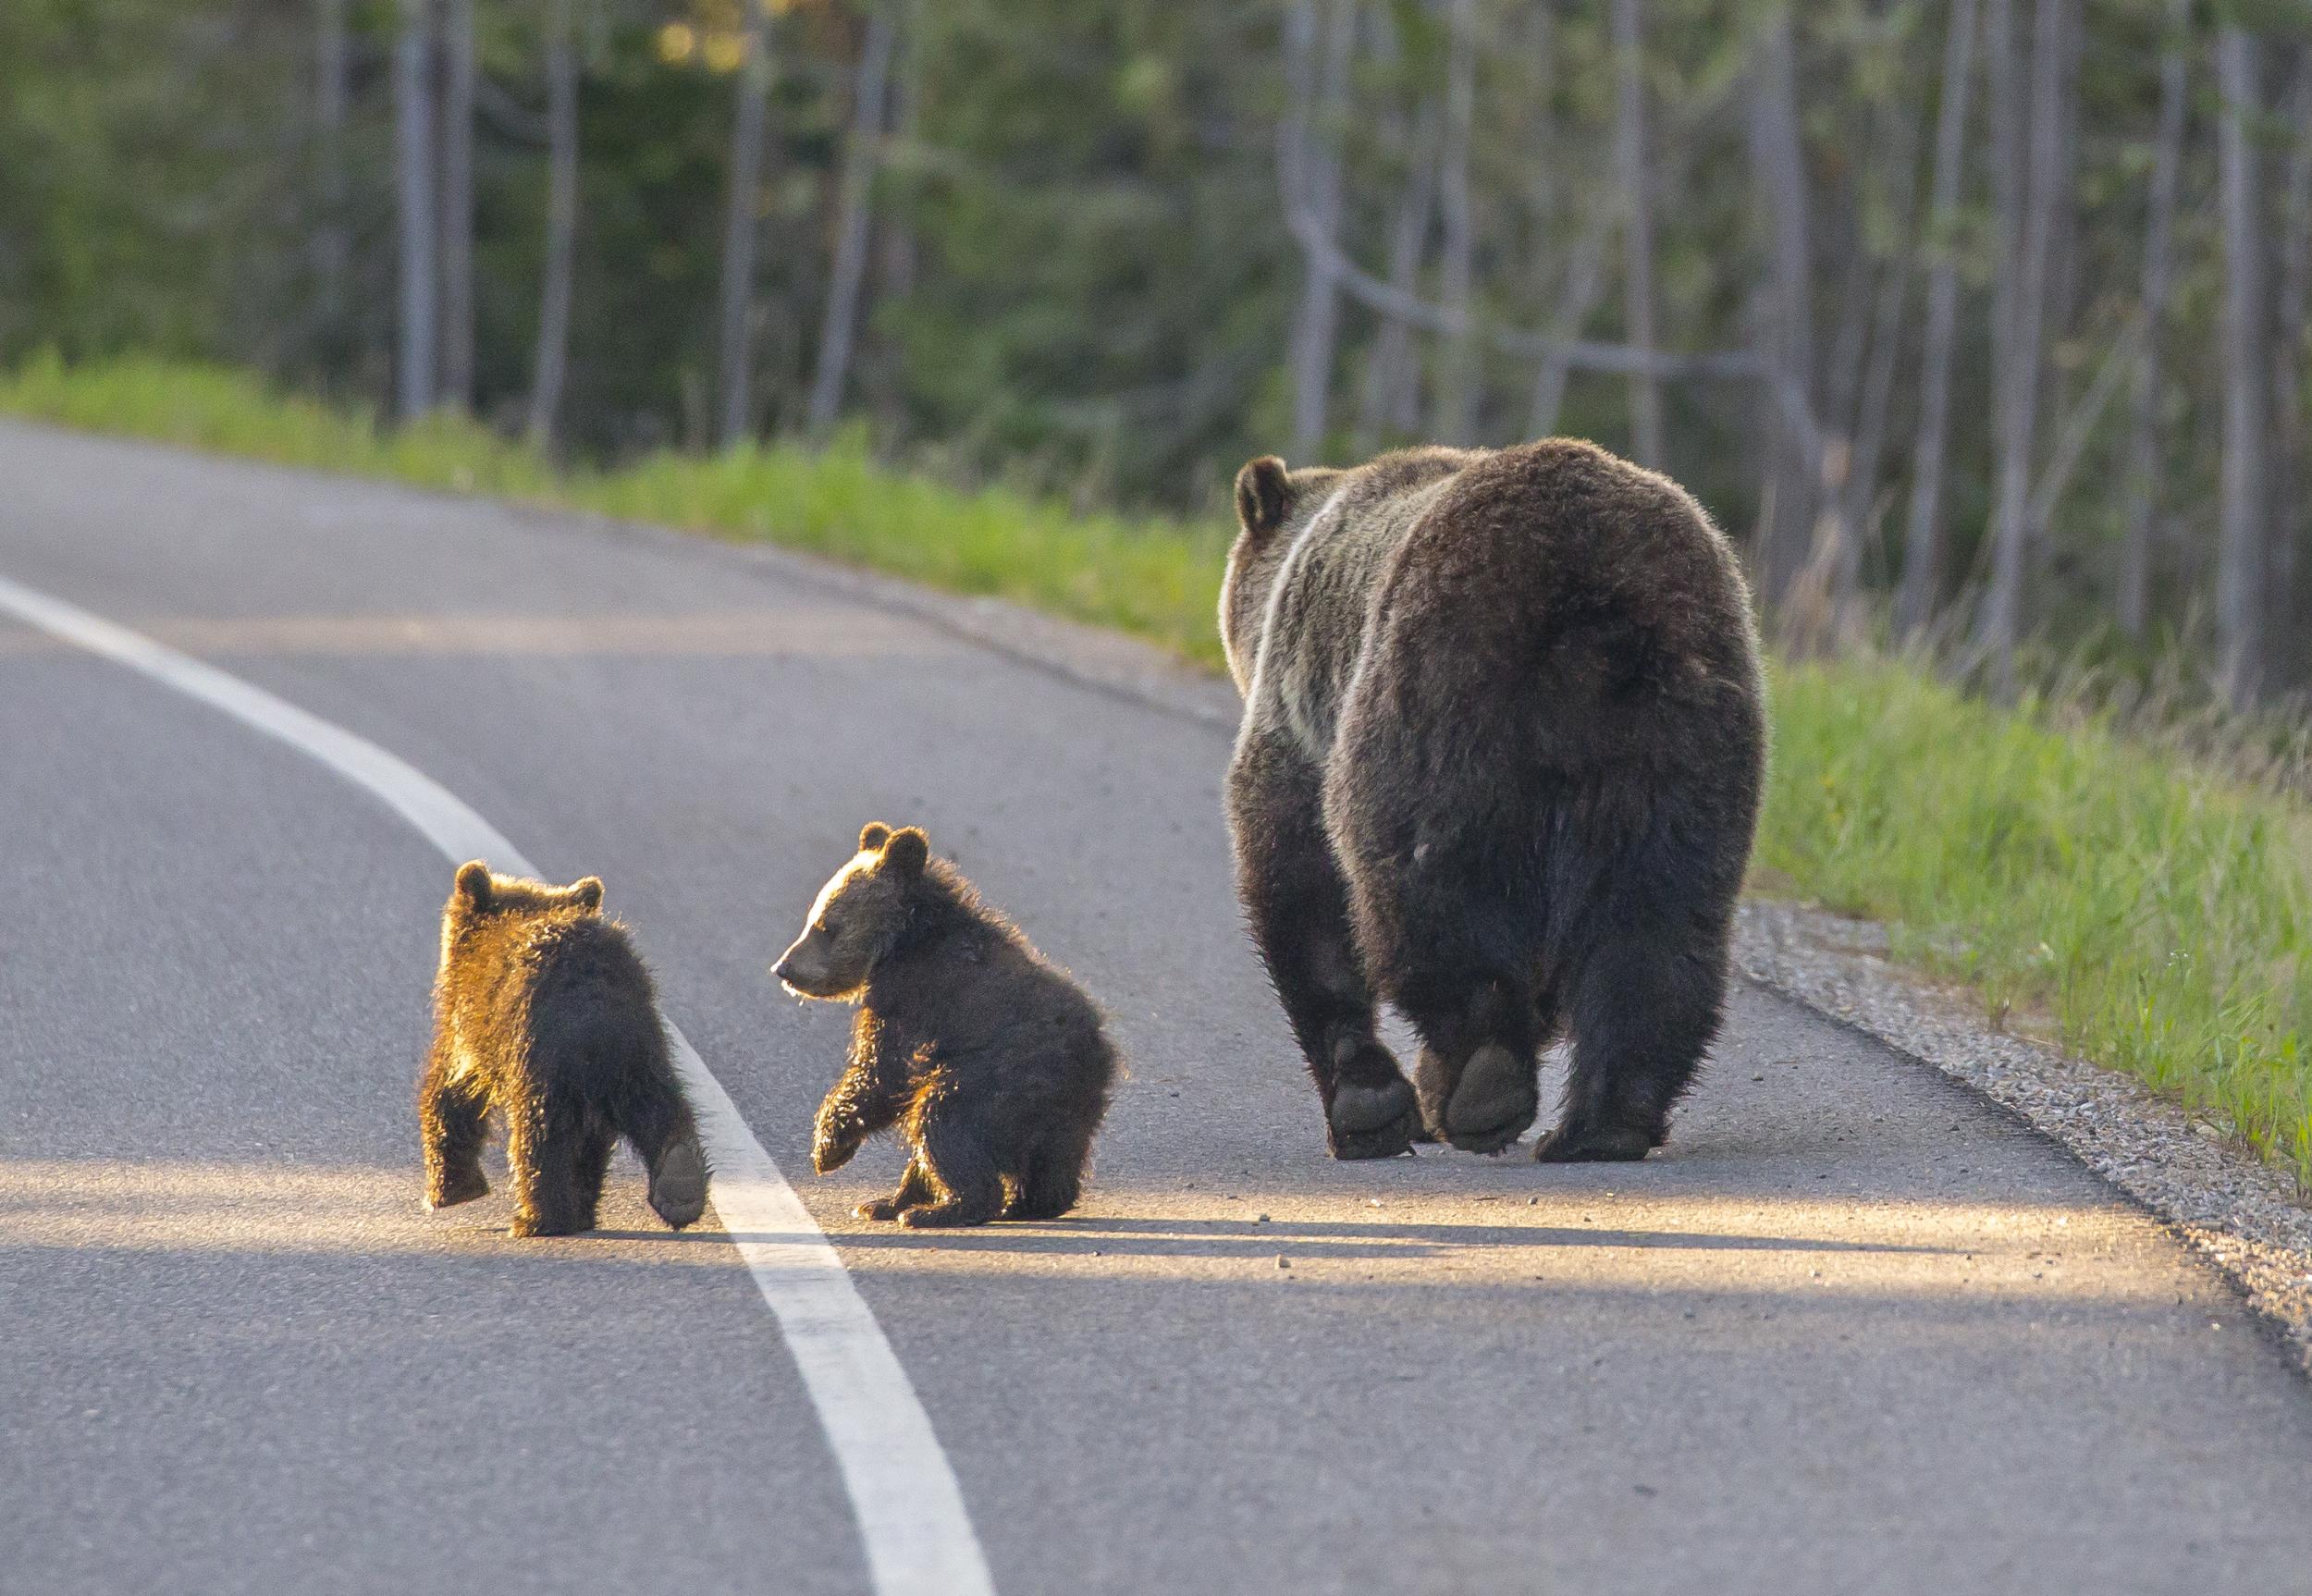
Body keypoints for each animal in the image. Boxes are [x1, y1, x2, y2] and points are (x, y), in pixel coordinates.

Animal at [420, 862, 710, 1237]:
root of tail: (593, 991)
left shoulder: (471, 1025)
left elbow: (451, 1092)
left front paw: (451, 1189)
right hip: (637, 1047)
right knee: (656, 1106)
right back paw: (679, 1186)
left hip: (541, 1054)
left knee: (542, 1133)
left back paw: (536, 1219)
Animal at [773, 823, 1118, 1229]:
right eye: (813, 918)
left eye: (826, 926)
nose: (784, 968)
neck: (903, 940)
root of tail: (1096, 1057)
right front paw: (876, 1197)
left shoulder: (913, 995)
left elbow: (880, 1071)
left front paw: (828, 1149)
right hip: (1065, 1113)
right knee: (1050, 1157)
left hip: (1001, 1075)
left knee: (942, 1117)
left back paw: (942, 1209)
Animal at [1218, 438, 1766, 1163]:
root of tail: (1595, 597)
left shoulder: (1302, 716)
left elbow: (1297, 880)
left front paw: (1368, 1104)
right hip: (1683, 734)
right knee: (1656, 923)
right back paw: (1602, 1122)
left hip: (1441, 692)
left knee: (1430, 894)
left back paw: (1482, 1084)